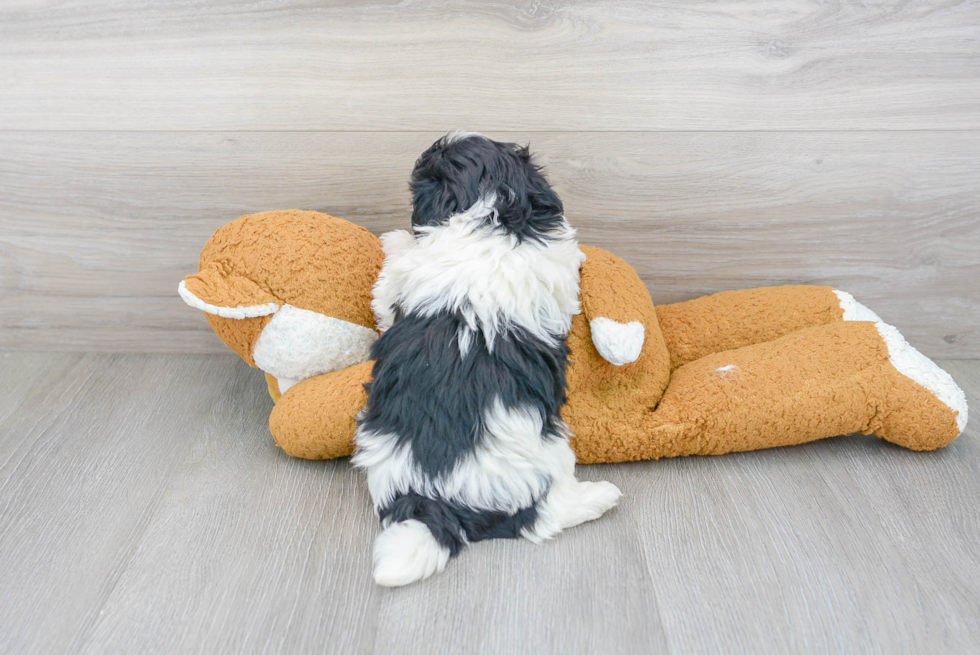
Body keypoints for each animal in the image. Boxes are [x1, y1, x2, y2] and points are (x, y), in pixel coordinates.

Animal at [352, 131, 620, 588]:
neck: (493, 214)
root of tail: (437, 499)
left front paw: (396, 239)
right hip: (549, 452)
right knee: (545, 517)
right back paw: (600, 497)